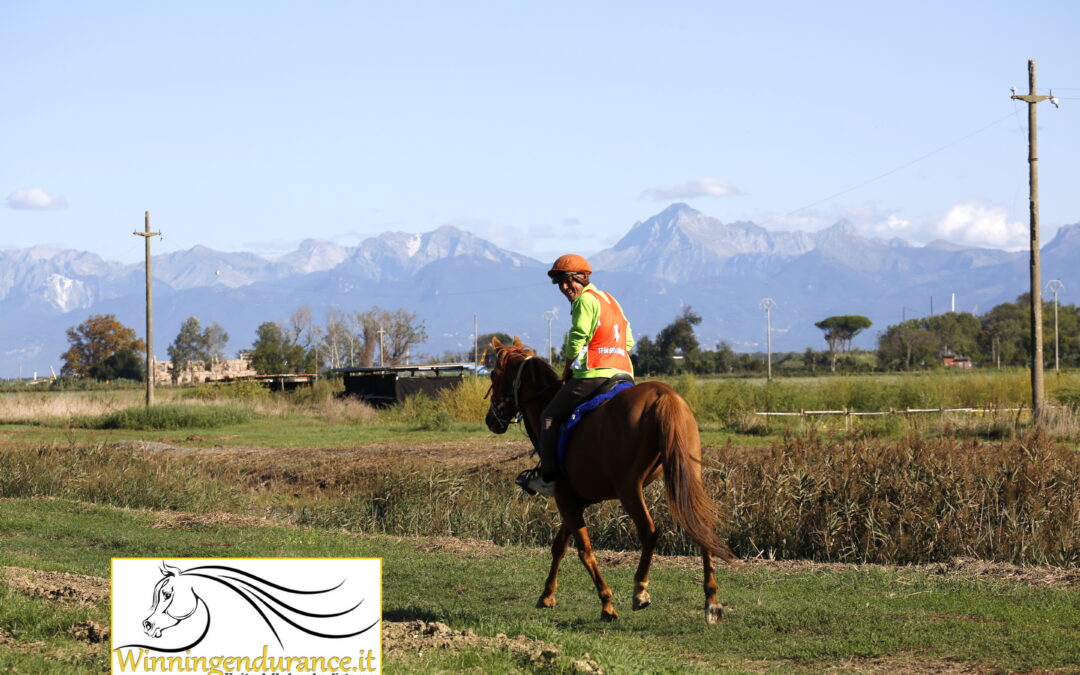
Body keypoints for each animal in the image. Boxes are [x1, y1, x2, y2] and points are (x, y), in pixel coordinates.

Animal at [488, 336, 734, 622]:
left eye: (493, 374)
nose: (491, 420)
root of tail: (664, 396)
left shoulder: (565, 498)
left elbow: (584, 550)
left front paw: (606, 603)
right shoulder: (575, 500)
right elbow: (560, 546)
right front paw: (547, 594)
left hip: (629, 489)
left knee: (650, 532)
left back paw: (640, 590)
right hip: (686, 476)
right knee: (699, 524)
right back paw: (711, 600)